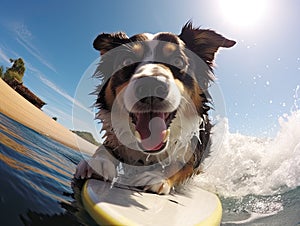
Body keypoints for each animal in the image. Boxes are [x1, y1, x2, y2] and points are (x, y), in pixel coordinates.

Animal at [74, 22, 234, 194]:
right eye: (127, 61)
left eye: (178, 61)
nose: (150, 86)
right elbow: (106, 147)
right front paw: (99, 162)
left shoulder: (195, 151)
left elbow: (181, 165)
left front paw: (158, 177)